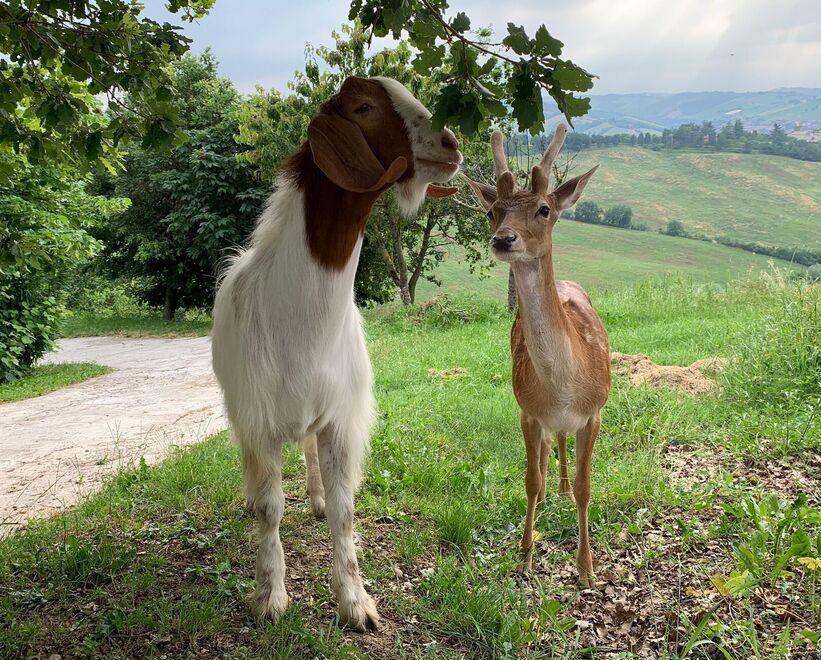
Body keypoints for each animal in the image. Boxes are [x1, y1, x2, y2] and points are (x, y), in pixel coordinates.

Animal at [211, 76, 461, 629]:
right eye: (364, 107)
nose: (451, 143)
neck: (303, 317)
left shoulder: (340, 418)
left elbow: (347, 511)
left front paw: (356, 601)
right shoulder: (259, 419)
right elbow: (271, 509)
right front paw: (269, 596)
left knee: (307, 453)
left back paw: (317, 497)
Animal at [466, 126, 610, 585]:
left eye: (544, 209)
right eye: (493, 211)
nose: (503, 239)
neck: (564, 387)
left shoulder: (595, 411)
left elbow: (585, 486)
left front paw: (586, 568)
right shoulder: (527, 410)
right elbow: (528, 479)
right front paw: (526, 554)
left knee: (560, 445)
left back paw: (559, 488)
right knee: (549, 446)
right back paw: (549, 490)